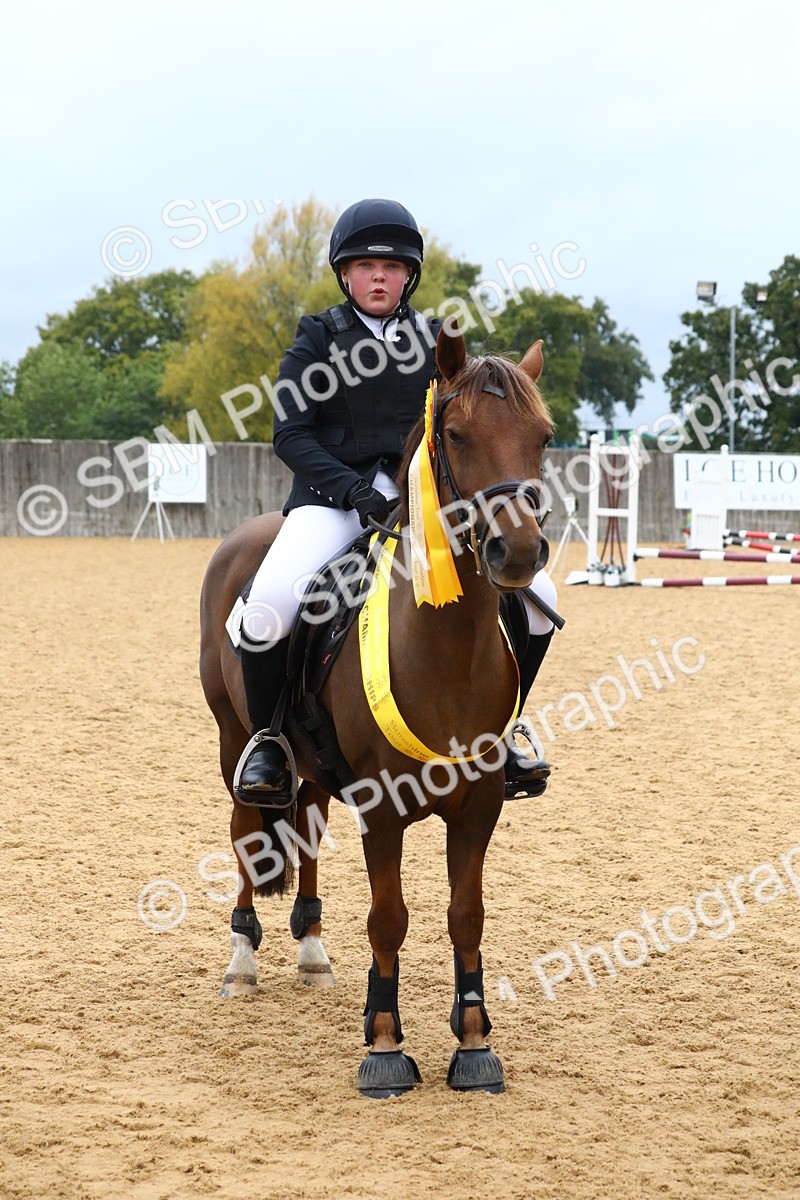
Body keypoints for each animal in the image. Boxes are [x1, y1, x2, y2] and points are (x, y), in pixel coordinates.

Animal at [199, 326, 554, 1097]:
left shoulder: (481, 803)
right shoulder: (382, 806)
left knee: (303, 827)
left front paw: (474, 1043)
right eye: (455, 434)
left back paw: (311, 950)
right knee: (246, 828)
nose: (516, 552)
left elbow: (466, 916)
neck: (445, 651)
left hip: (309, 766)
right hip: (234, 739)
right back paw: (242, 962)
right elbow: (388, 919)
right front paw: (386, 1046)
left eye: (543, 437)